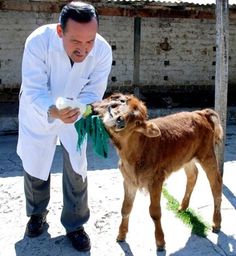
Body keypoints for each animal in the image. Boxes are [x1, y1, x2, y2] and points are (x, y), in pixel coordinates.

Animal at [92, 93, 223, 251]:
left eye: (137, 122)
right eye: (121, 102)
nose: (120, 120)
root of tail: (200, 113)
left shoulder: (156, 180)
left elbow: (155, 212)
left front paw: (160, 242)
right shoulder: (129, 181)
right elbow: (125, 208)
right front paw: (121, 235)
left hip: (207, 154)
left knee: (216, 183)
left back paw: (216, 223)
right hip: (186, 158)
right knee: (193, 174)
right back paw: (182, 207)